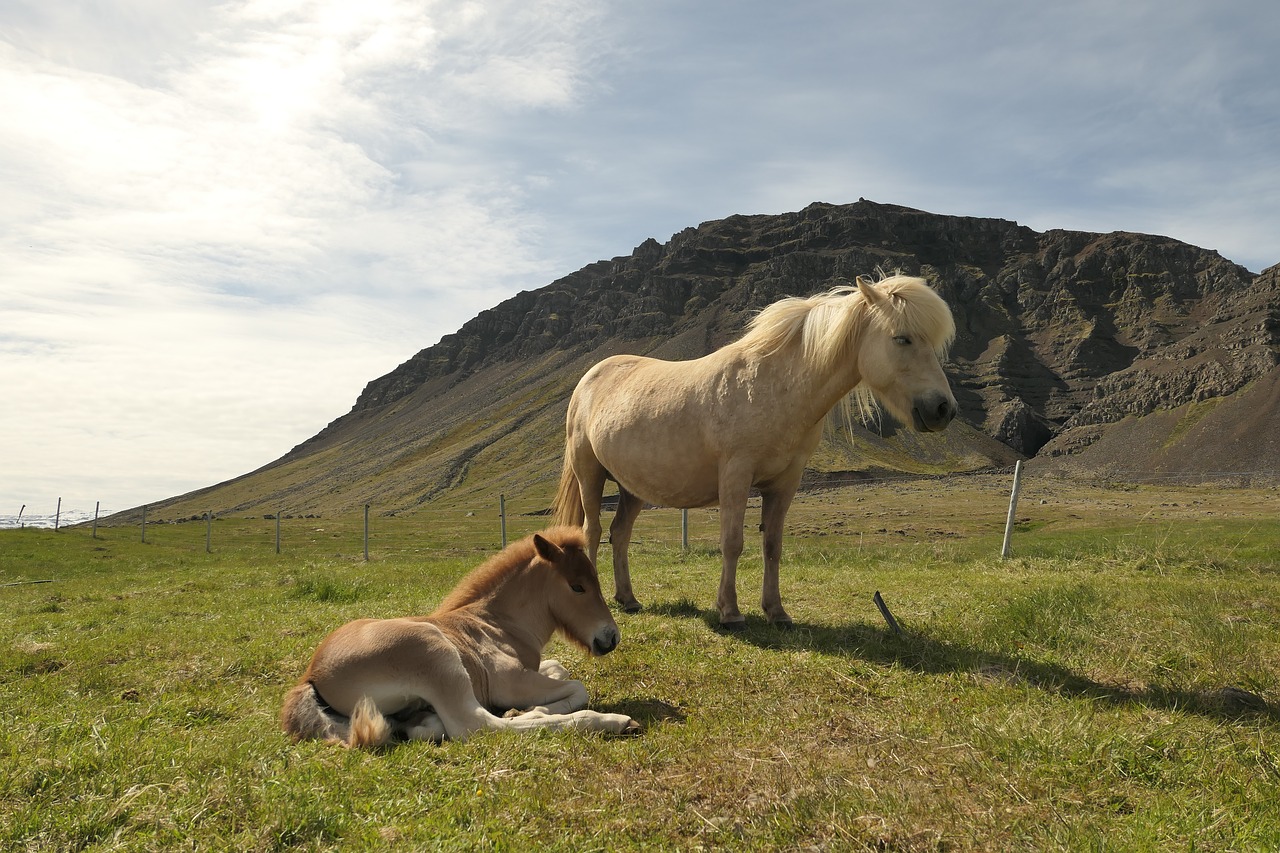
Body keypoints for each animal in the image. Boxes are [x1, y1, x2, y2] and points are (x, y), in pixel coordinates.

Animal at [281, 525, 640, 742]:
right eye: (577, 586)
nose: (611, 637)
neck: (498, 623)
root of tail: (311, 675)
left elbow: (559, 669)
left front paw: (533, 707)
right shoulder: (509, 681)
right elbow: (577, 687)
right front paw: (530, 709)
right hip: (436, 654)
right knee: (475, 725)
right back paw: (613, 721)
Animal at [555, 275, 957, 627]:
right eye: (902, 338)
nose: (944, 409)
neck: (775, 387)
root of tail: (590, 377)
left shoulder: (786, 482)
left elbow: (772, 546)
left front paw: (776, 612)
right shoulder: (736, 475)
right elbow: (732, 543)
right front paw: (730, 612)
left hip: (632, 488)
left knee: (619, 534)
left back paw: (629, 599)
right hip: (589, 475)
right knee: (592, 531)